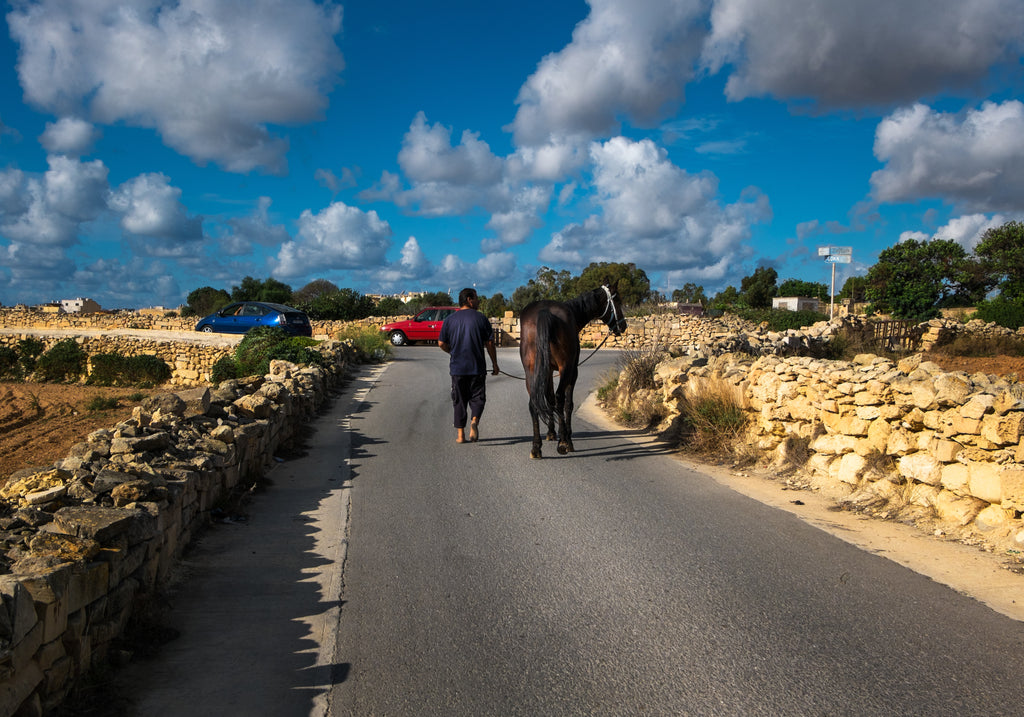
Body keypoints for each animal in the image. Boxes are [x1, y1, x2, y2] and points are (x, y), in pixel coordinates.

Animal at [520, 282, 622, 456]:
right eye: (618, 301)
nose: (623, 325)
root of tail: (544, 312)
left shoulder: (547, 371)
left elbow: (549, 399)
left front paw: (551, 433)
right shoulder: (573, 371)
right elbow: (568, 403)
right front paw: (566, 438)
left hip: (531, 371)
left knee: (535, 402)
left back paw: (536, 447)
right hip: (565, 368)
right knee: (560, 398)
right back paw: (563, 442)